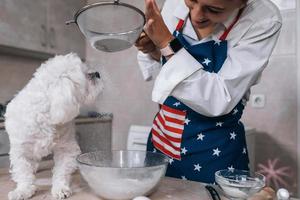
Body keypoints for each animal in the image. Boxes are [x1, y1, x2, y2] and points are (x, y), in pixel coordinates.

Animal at [4, 53, 103, 200]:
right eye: (87, 75)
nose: (97, 74)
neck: (45, 115)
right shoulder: (20, 151)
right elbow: (24, 173)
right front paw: (23, 190)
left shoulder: (66, 149)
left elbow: (61, 172)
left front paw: (60, 188)